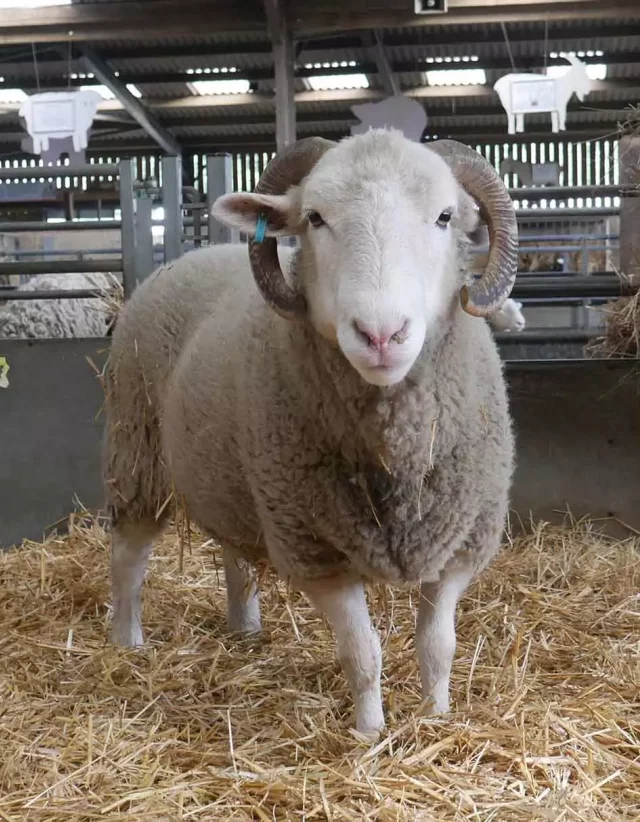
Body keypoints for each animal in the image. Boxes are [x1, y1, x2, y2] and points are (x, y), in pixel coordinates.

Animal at [103, 129, 518, 736]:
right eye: (315, 218)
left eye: (445, 217)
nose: (381, 335)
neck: (394, 451)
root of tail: (192, 254)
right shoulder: (315, 552)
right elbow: (362, 652)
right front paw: (369, 733)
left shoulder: (461, 544)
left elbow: (438, 645)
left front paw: (436, 718)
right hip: (138, 450)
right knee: (129, 558)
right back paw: (126, 642)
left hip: (234, 478)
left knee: (234, 551)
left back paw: (245, 629)